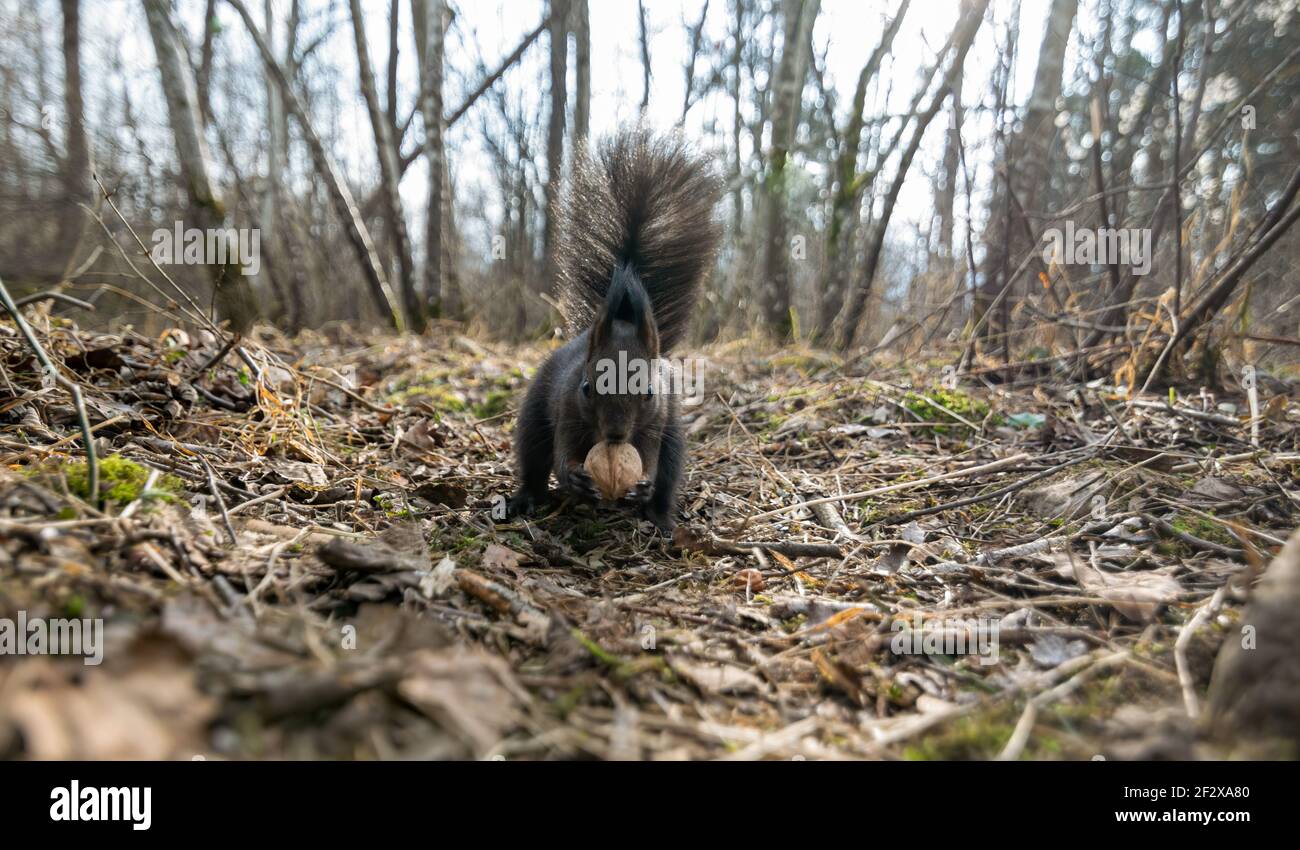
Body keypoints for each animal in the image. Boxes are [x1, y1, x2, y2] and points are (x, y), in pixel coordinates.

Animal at [506, 128, 728, 532]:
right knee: (534, 459)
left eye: (650, 392)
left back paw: (660, 517)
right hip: (534, 417)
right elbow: (562, 455)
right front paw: (575, 477)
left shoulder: (657, 421)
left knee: (668, 475)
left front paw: (643, 485)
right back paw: (527, 497)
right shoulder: (567, 409)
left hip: (674, 439)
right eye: (586, 386)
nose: (615, 435)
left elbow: (652, 459)